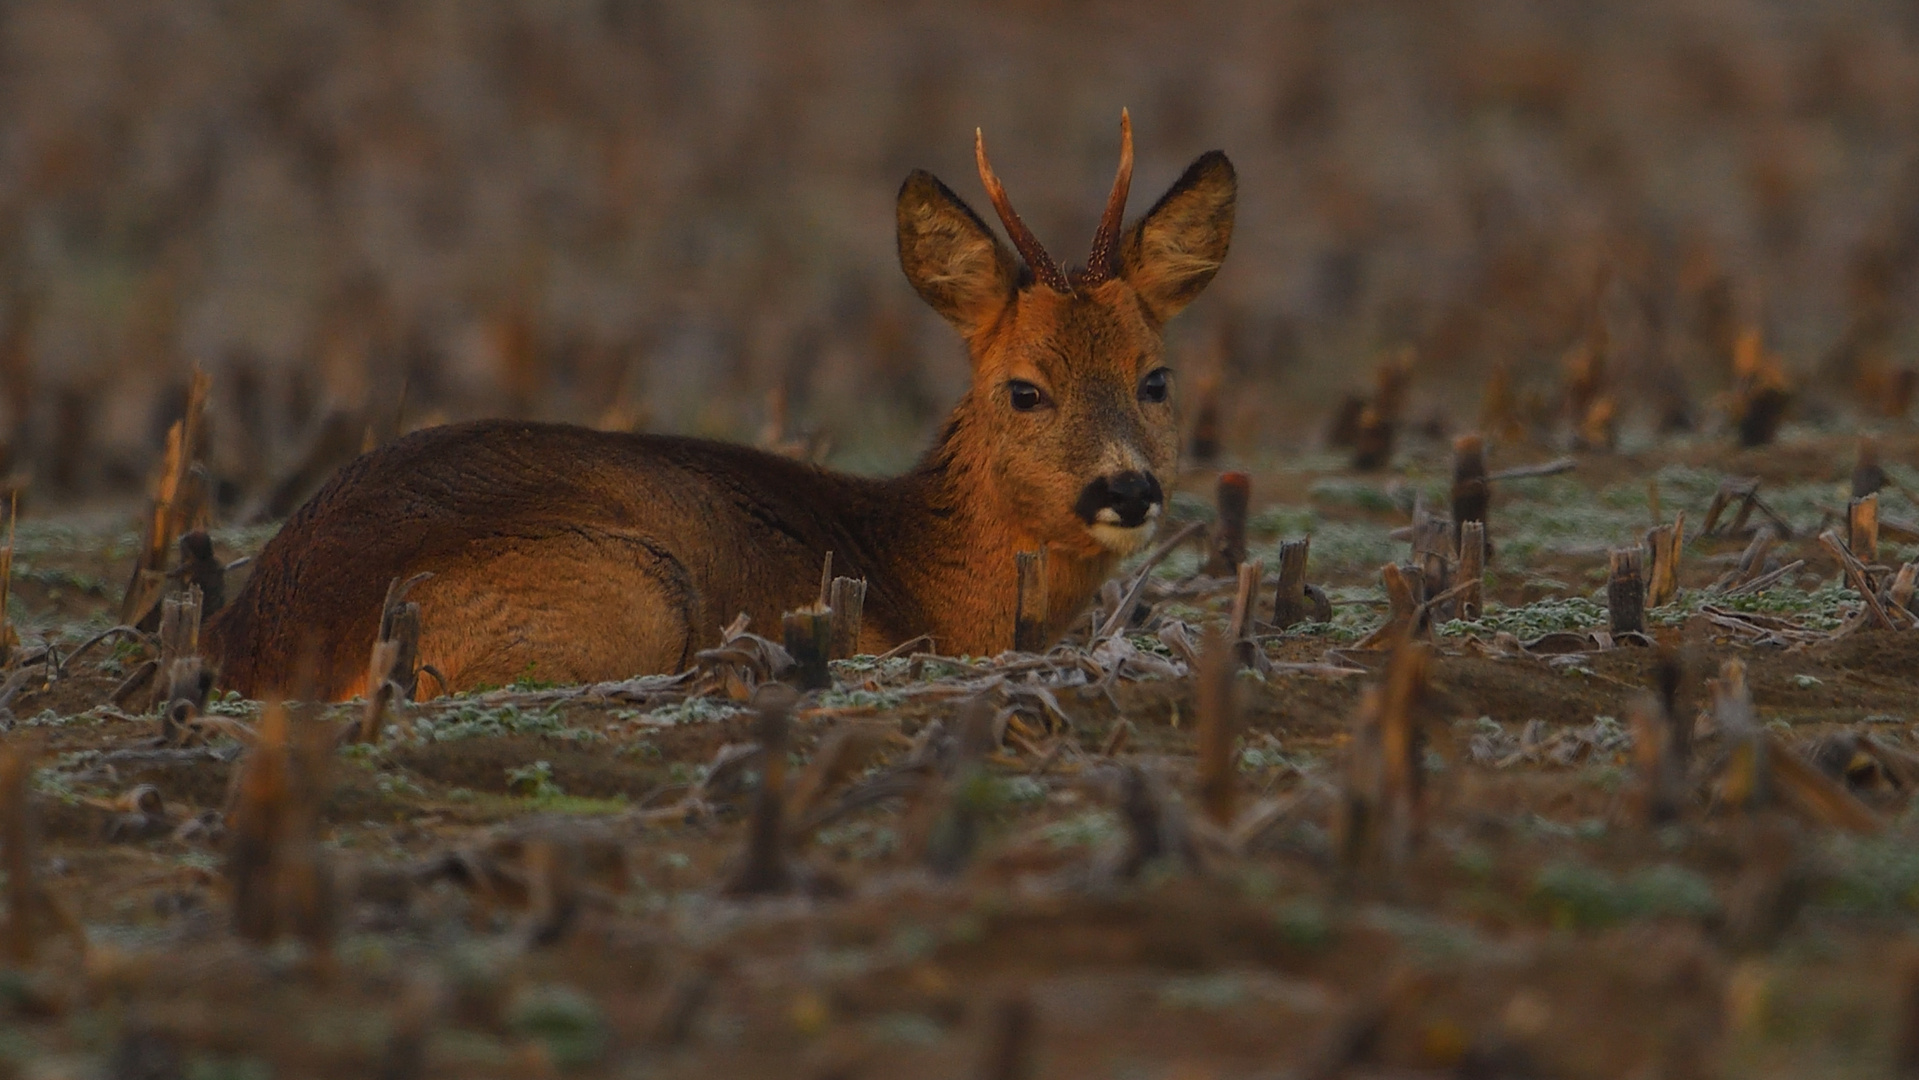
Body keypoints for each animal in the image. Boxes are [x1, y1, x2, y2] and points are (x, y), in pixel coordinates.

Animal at [206, 112, 1228, 702]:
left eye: (1155, 378)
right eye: (1024, 389)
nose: (1125, 490)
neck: (919, 561)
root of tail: (262, 646)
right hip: (624, 591)